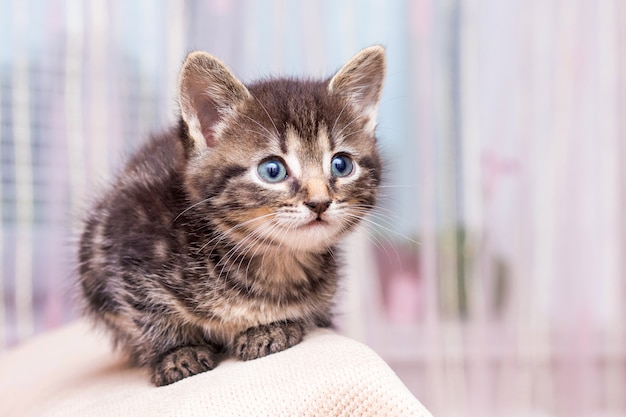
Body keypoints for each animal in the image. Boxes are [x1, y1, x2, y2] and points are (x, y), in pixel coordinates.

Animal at [78, 44, 386, 384]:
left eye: (341, 165)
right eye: (272, 170)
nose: (320, 202)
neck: (271, 261)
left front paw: (271, 326)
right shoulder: (129, 236)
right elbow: (146, 309)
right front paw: (176, 352)